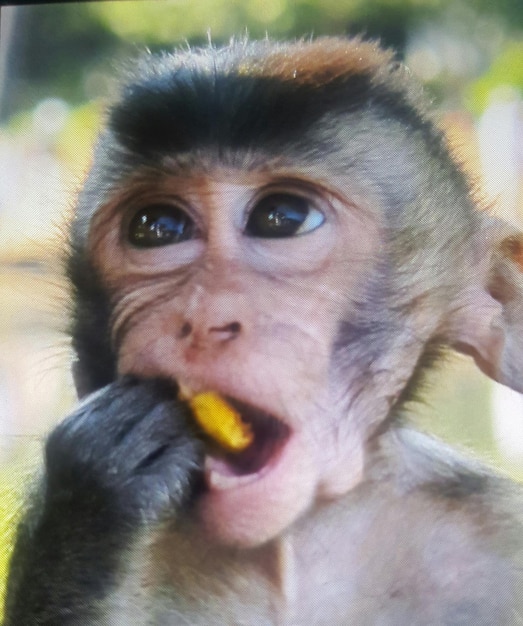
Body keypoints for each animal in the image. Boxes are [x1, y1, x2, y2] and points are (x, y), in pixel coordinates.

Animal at [3, 36, 523, 620]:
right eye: (157, 228)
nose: (203, 318)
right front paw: (90, 496)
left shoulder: (500, 531)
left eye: (283, 217)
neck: (285, 553)